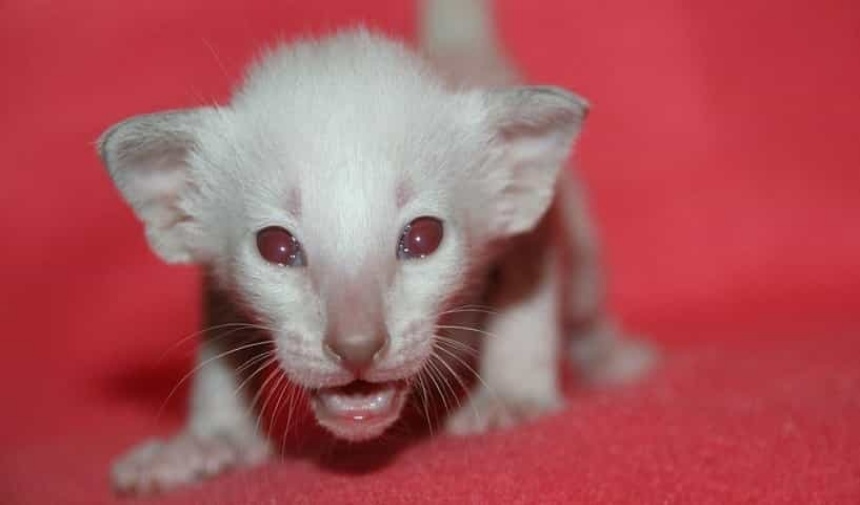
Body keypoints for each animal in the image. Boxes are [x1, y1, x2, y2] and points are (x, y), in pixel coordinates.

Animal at [99, 0, 652, 494]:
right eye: (275, 246)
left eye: (423, 237)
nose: (357, 346)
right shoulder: (218, 282)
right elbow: (219, 353)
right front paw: (209, 439)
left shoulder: (532, 237)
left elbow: (524, 312)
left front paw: (512, 396)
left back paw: (611, 358)